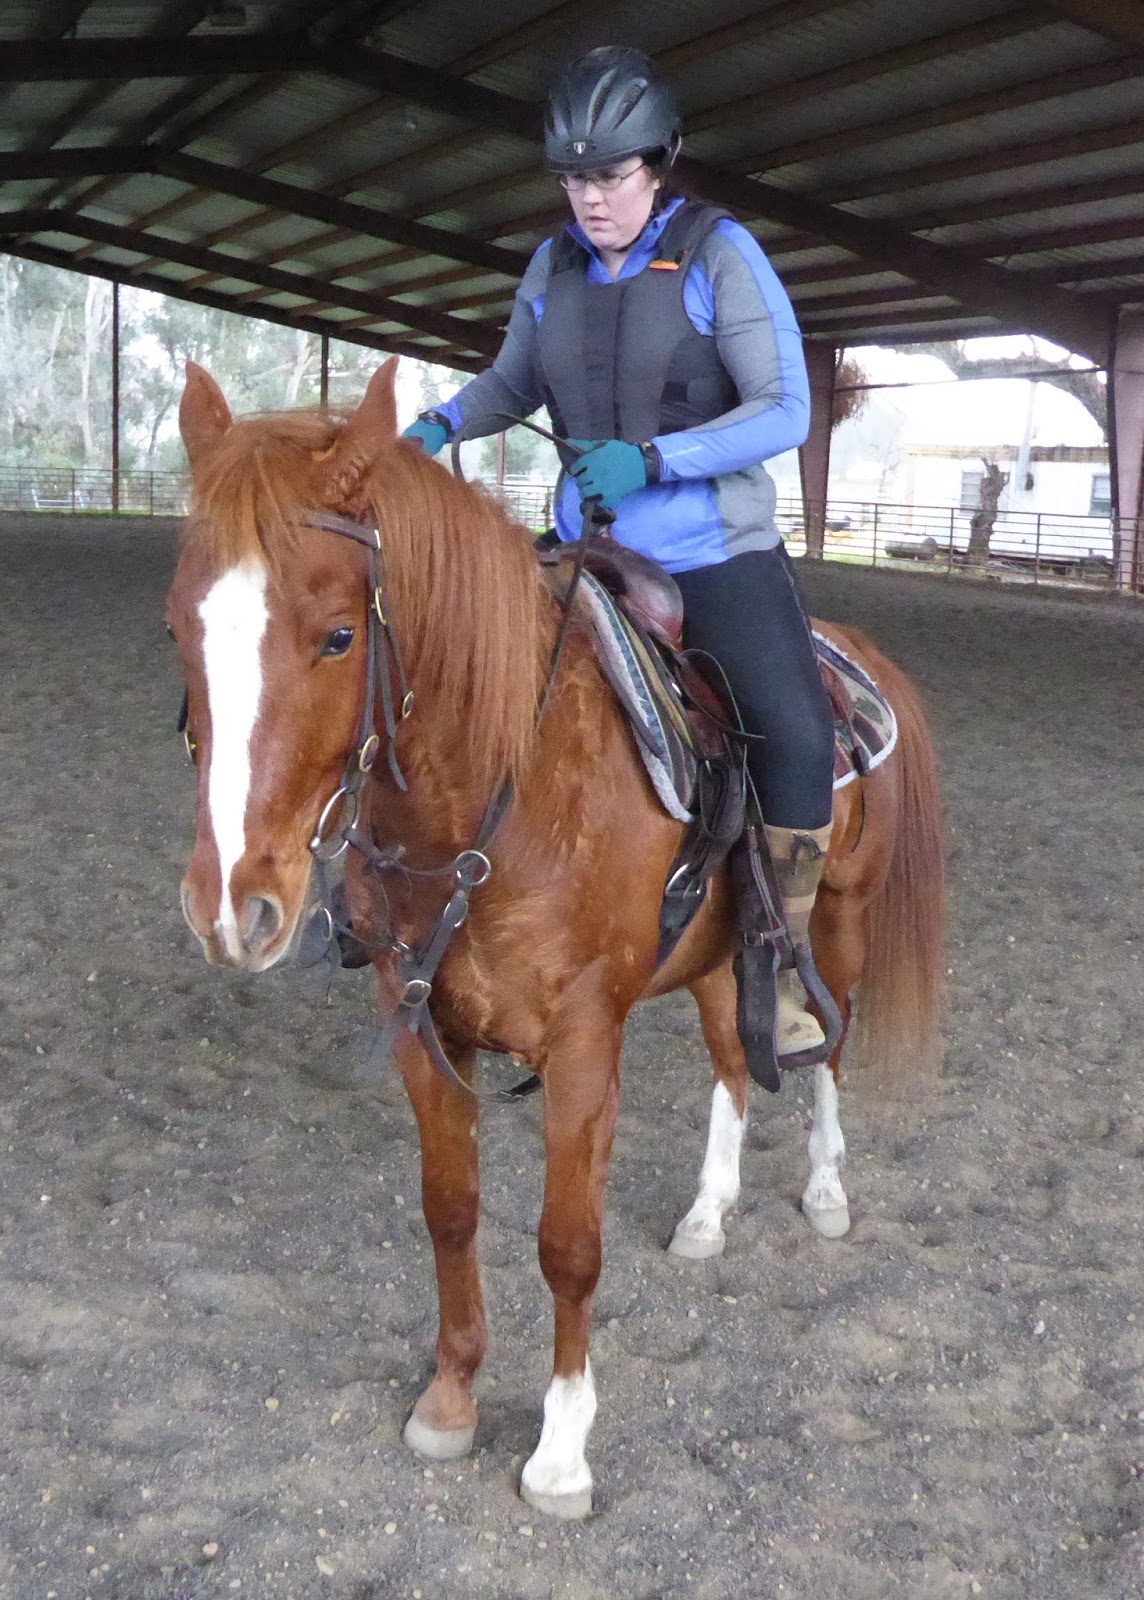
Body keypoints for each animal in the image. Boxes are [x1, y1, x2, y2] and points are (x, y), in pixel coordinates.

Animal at [167, 358, 943, 1520]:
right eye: (179, 629)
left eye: (338, 635)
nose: (232, 906)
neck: (498, 793)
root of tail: (860, 658)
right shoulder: (423, 1028)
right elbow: (450, 1210)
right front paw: (448, 1399)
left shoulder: (582, 1042)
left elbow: (567, 1244)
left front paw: (562, 1449)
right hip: (715, 950)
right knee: (732, 1058)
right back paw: (708, 1215)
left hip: (838, 917)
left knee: (824, 1048)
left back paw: (825, 1192)